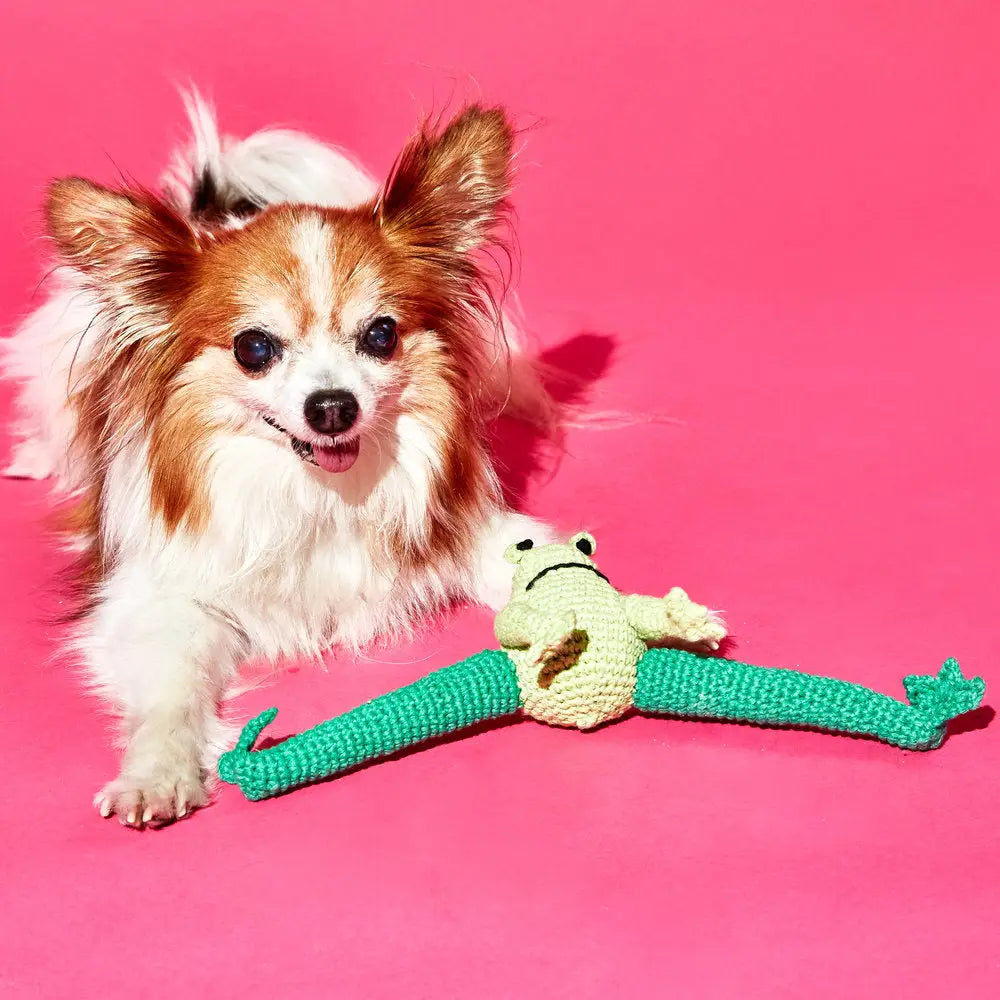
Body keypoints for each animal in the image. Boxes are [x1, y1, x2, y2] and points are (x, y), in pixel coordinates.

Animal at [3, 94, 560, 828]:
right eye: (254, 348)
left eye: (381, 335)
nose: (332, 406)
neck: (313, 489)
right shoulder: (157, 599)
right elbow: (172, 694)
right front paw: (158, 772)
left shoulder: (474, 530)